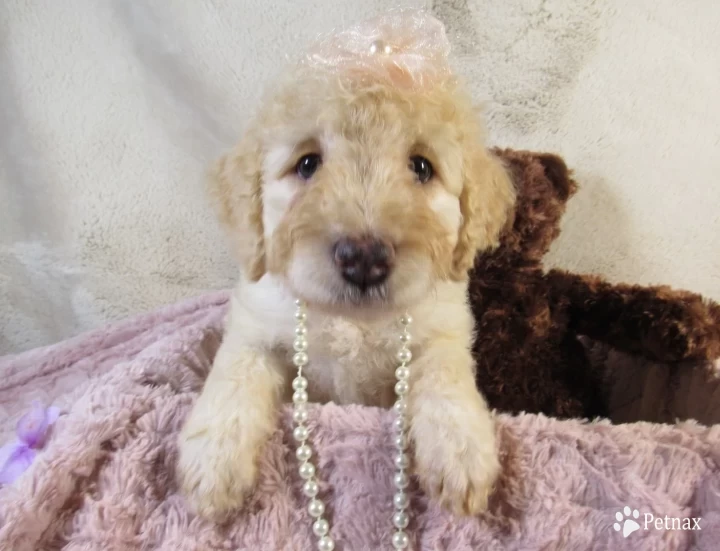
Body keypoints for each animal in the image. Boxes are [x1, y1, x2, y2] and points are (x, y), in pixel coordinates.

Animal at [177, 14, 516, 520]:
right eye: (307, 164)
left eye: (421, 167)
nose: (364, 259)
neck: (353, 321)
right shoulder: (256, 327)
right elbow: (234, 374)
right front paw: (212, 460)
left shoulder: (444, 328)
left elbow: (446, 374)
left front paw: (461, 451)